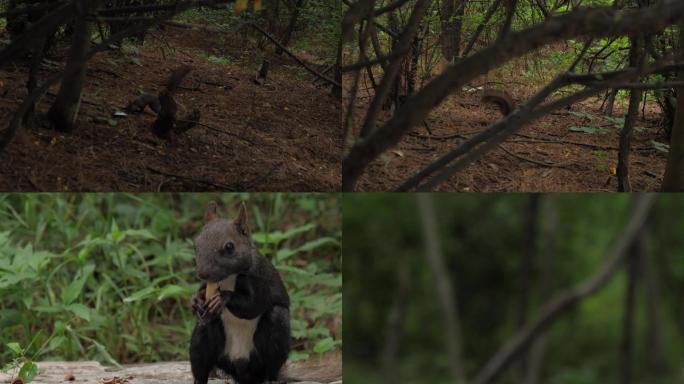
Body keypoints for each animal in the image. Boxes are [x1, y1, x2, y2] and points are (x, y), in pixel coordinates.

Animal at [190, 201, 292, 384]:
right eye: (196, 243)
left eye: (229, 246)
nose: (202, 273)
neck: (228, 278)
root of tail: (240, 369)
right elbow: (202, 290)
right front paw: (195, 300)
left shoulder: (260, 279)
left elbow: (253, 306)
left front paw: (223, 298)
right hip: (206, 340)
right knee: (202, 354)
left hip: (273, 340)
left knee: (271, 367)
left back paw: (271, 378)